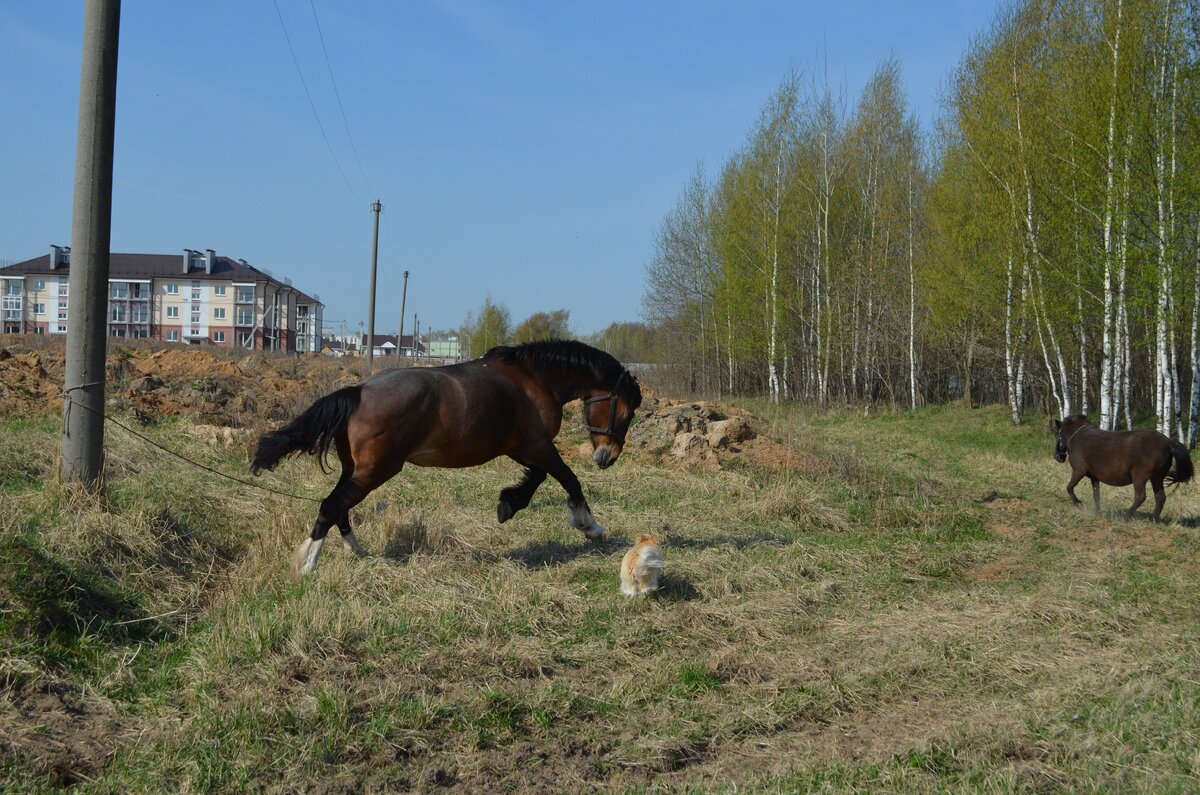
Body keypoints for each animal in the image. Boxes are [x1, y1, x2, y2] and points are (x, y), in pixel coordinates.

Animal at [252, 338, 643, 576]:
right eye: (626, 413)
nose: (607, 457)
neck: (534, 380)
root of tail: (358, 391)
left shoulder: (521, 449)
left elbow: (538, 477)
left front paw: (509, 503)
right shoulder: (535, 445)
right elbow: (565, 478)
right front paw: (589, 526)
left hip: (356, 469)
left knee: (340, 509)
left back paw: (360, 552)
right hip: (376, 470)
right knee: (331, 506)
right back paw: (307, 564)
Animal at [1051, 417, 1190, 523]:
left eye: (1058, 434)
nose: (1058, 457)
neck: (1078, 437)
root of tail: (1169, 442)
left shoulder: (1079, 471)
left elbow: (1069, 488)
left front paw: (1079, 504)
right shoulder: (1094, 477)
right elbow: (1096, 495)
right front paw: (1098, 513)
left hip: (1139, 477)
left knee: (1140, 497)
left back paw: (1125, 516)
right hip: (1157, 478)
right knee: (1160, 497)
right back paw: (1153, 519)